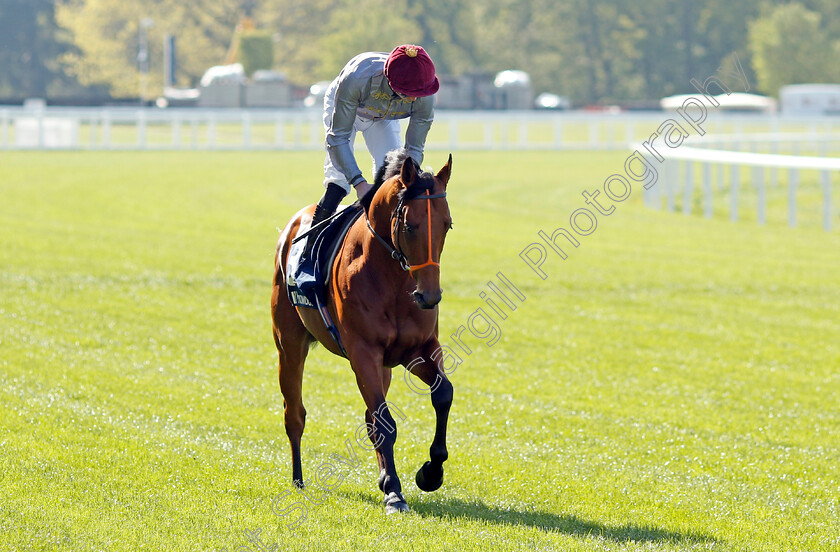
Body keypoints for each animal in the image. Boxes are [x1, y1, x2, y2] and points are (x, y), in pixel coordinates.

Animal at [270, 148, 452, 512]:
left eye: (447, 225)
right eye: (409, 225)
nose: (429, 296)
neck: (393, 281)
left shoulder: (419, 348)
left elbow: (443, 394)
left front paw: (430, 472)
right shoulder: (363, 352)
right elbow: (385, 421)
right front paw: (395, 492)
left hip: (385, 366)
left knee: (370, 418)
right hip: (289, 344)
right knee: (294, 414)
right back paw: (298, 480)